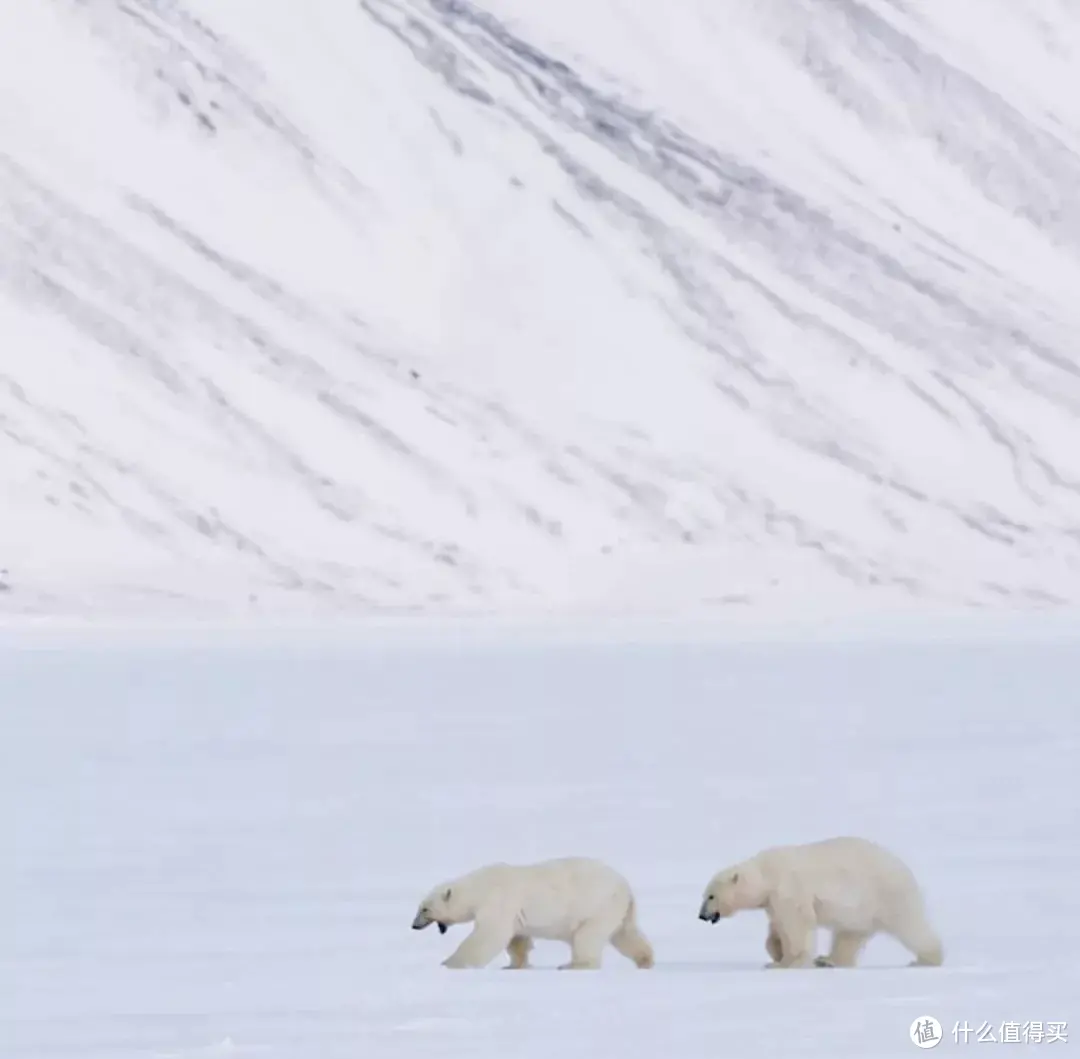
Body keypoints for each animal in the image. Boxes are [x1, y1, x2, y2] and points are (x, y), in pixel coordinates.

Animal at [410, 854, 648, 971]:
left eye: (424, 909)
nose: (414, 925)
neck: (479, 887)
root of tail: (625, 886)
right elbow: (517, 939)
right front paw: (513, 966)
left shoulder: (498, 901)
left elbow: (489, 935)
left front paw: (450, 963)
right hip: (617, 909)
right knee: (625, 934)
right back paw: (645, 960)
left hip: (596, 906)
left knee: (586, 937)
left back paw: (573, 965)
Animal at [699, 833, 946, 967]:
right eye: (705, 895)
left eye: (711, 895)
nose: (701, 915)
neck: (767, 873)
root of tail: (905, 868)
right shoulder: (774, 901)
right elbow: (777, 928)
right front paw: (777, 954)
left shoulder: (788, 890)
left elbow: (797, 925)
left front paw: (787, 963)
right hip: (861, 911)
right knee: (849, 937)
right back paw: (828, 960)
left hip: (887, 895)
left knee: (911, 926)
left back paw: (926, 959)